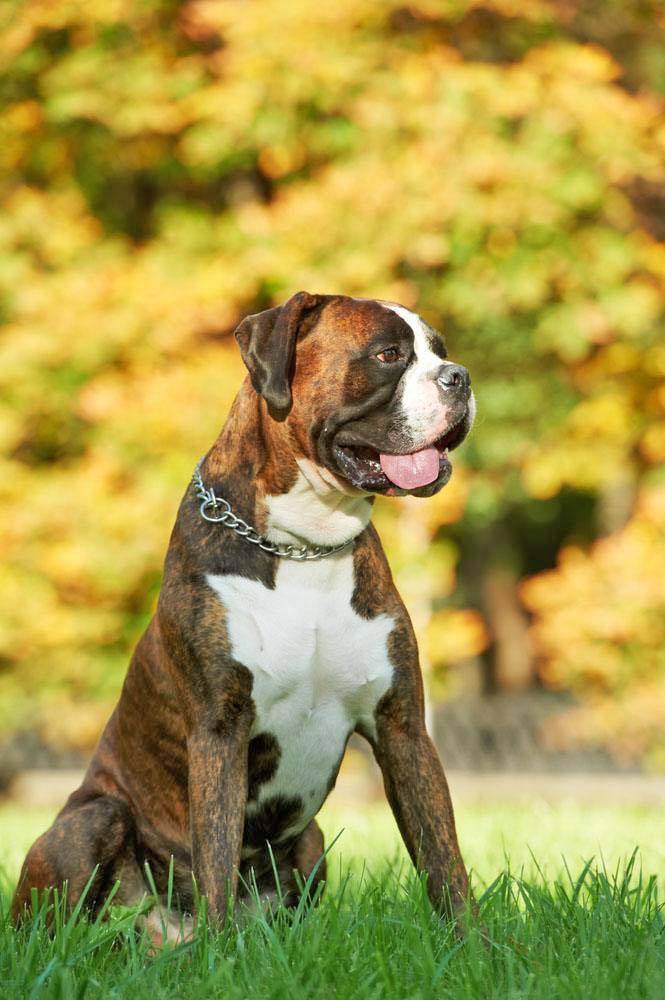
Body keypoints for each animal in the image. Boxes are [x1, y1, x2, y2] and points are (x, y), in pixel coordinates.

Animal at [11, 292, 478, 940]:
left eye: (440, 350)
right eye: (388, 354)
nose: (460, 377)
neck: (305, 545)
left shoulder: (403, 730)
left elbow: (444, 859)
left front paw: (477, 947)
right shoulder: (220, 731)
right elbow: (216, 856)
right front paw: (221, 952)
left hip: (310, 842)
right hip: (91, 820)